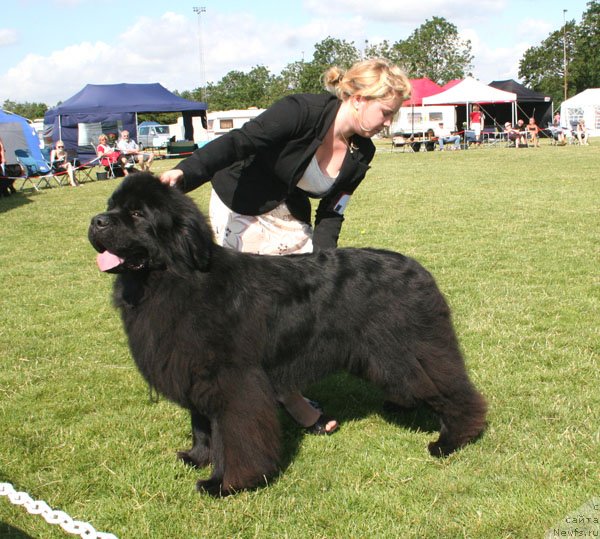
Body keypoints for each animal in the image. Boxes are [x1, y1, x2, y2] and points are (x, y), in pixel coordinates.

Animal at [89, 174, 488, 498]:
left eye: (137, 214)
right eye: (111, 207)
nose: (96, 221)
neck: (175, 278)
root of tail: (418, 268)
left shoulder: (232, 381)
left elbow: (231, 435)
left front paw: (224, 483)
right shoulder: (194, 371)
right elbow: (201, 425)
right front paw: (196, 457)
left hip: (404, 349)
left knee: (449, 388)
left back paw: (453, 440)